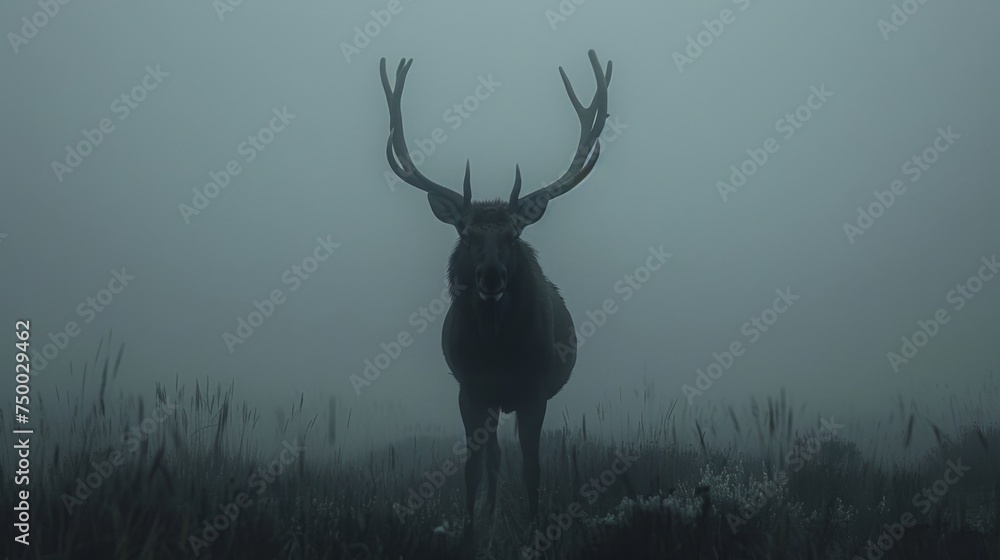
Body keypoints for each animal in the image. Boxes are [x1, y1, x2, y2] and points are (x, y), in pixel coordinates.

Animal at [379, 50, 611, 535]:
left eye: (513, 234)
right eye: (466, 234)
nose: (490, 277)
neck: (497, 351)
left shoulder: (534, 390)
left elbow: (533, 468)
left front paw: (537, 529)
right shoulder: (470, 390)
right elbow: (472, 468)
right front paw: (469, 530)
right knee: (493, 458)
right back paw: (487, 514)